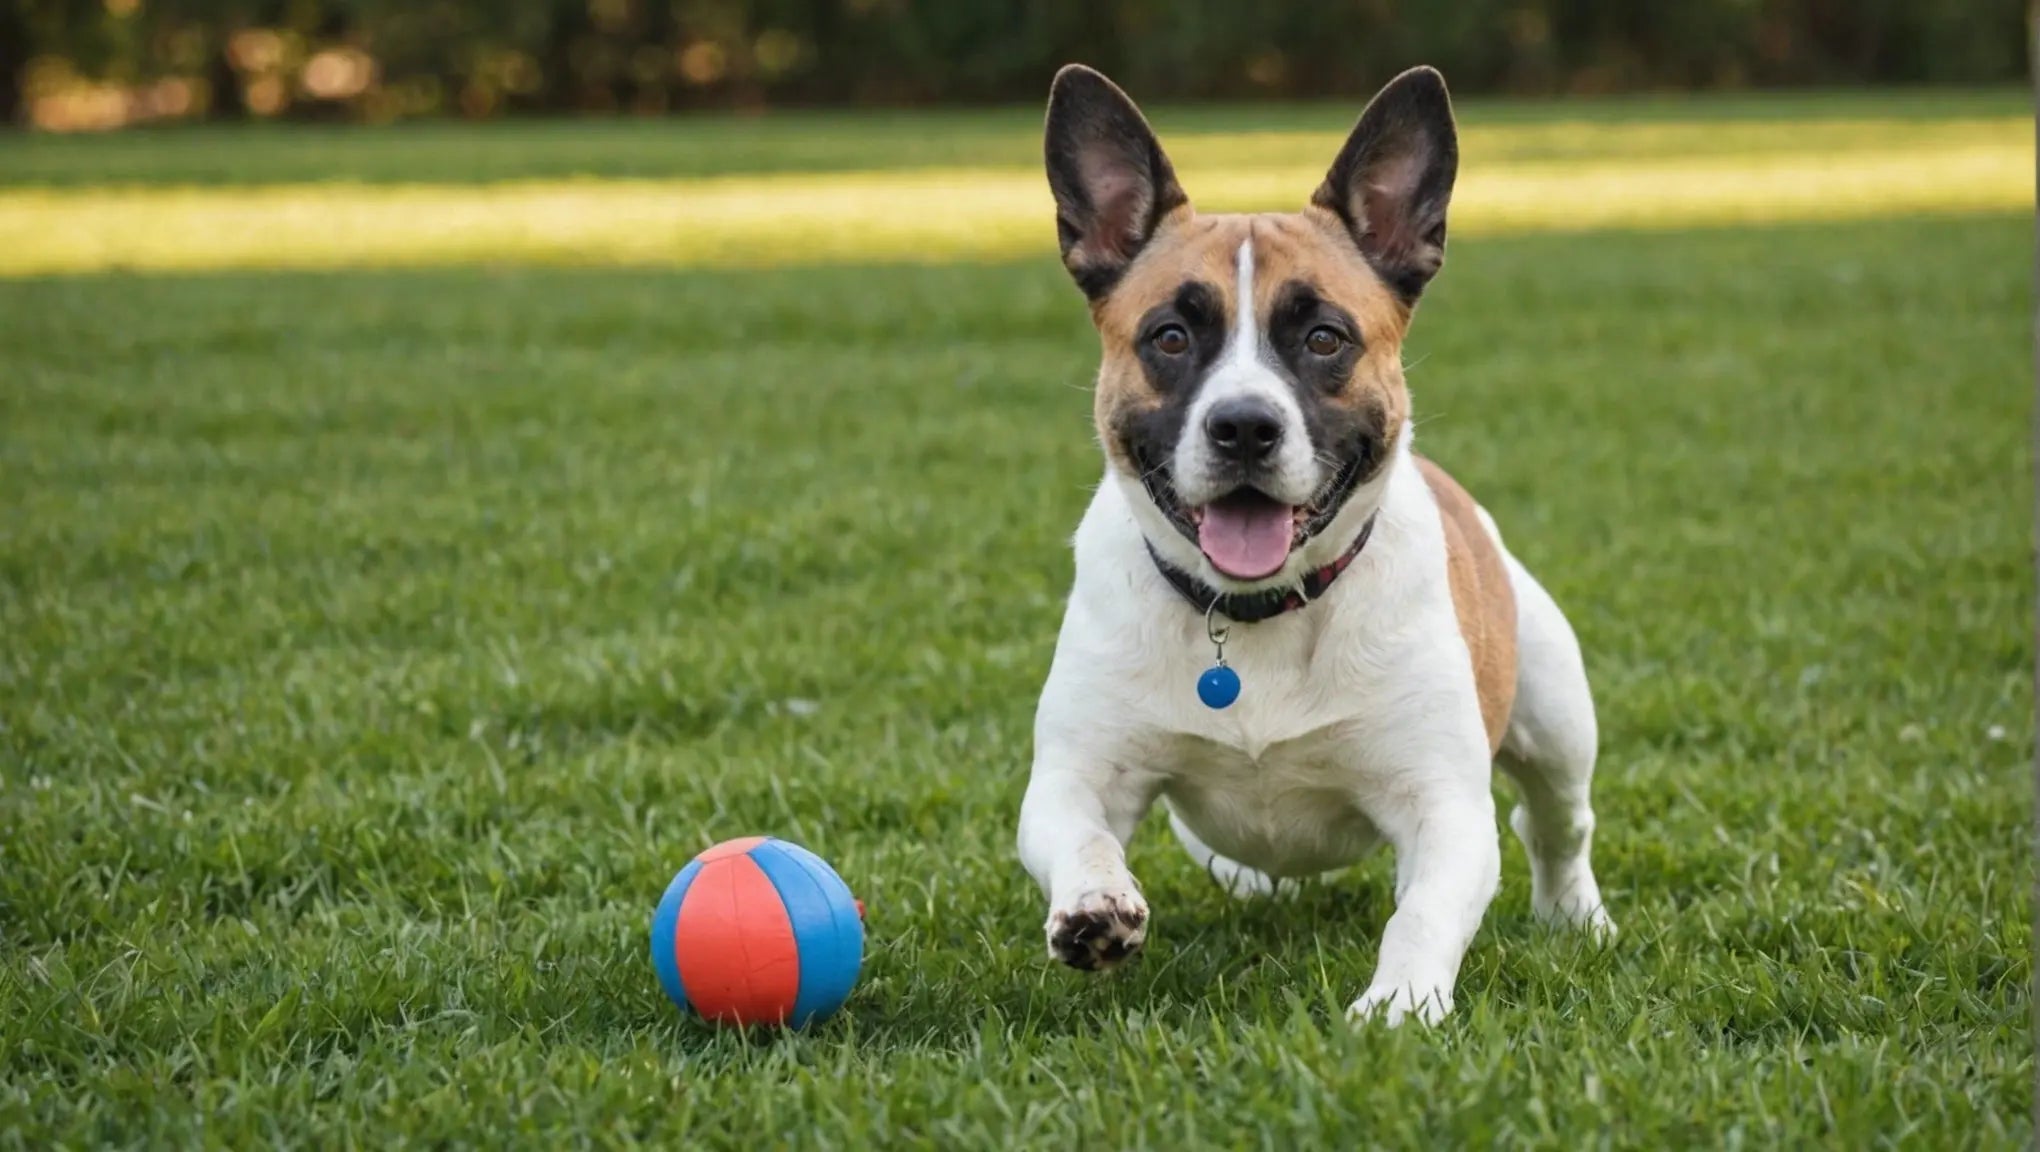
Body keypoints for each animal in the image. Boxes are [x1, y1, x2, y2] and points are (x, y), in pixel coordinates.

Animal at [1011, 65, 1615, 1023]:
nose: (1244, 427)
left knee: (1557, 823)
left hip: (1556, 712)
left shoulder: (1443, 805)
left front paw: (1400, 1004)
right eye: (1170, 337)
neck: (1254, 612)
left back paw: (1576, 917)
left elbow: (1424, 910)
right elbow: (1080, 835)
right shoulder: (1076, 774)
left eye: (1325, 337)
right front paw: (1094, 908)